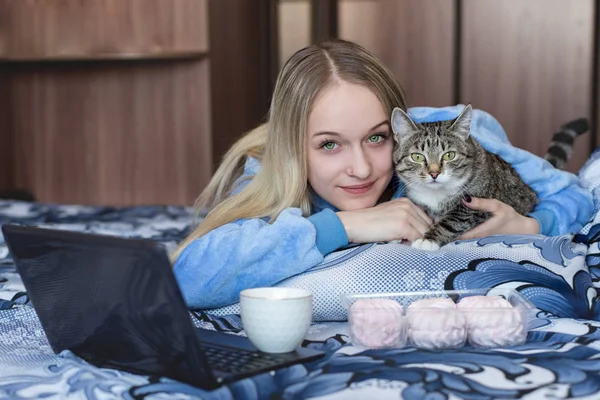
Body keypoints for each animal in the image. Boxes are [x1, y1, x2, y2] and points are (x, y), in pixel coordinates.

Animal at [392, 104, 536, 252]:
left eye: (449, 155)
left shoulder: (473, 207)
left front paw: (428, 239)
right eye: (417, 157)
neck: (435, 194)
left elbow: (452, 221)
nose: (434, 173)